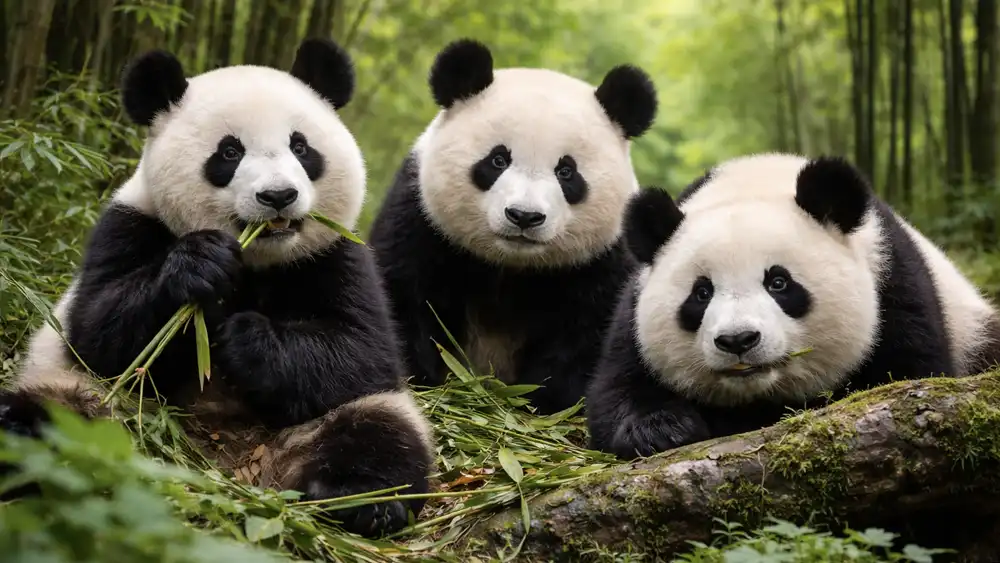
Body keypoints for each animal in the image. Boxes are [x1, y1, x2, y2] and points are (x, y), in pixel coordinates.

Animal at [0, 38, 435, 537]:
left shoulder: (337, 252)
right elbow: (97, 332)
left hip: (344, 417)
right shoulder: (129, 224)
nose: (279, 196)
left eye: (300, 146)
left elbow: (363, 349)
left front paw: (245, 338)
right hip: (90, 399)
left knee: (380, 435)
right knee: (52, 410)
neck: (258, 260)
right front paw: (200, 267)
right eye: (229, 153)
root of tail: (229, 462)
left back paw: (363, 501)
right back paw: (22, 444)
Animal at [368, 38, 657, 414]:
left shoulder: (601, 258)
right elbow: (402, 295)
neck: (510, 265)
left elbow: (589, 333)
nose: (524, 216)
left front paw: (542, 401)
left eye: (567, 172)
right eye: (497, 160)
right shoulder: (421, 220)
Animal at [587, 152, 1000, 459]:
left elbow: (910, 370)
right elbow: (618, 389)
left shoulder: (892, 282)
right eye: (701, 293)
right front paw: (663, 430)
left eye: (779, 283)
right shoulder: (633, 310)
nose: (738, 340)